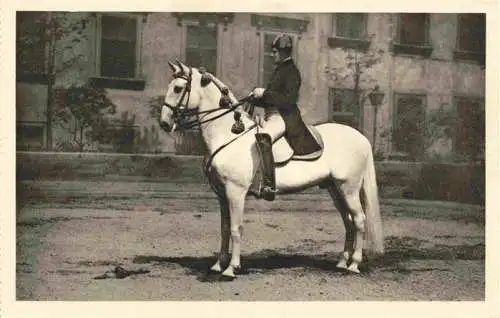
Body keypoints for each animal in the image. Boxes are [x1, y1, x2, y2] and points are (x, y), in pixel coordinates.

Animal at [160, 60, 382, 280]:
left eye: (178, 88)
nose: (164, 123)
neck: (228, 134)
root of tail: (361, 138)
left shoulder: (235, 192)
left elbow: (235, 229)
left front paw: (231, 268)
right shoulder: (222, 194)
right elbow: (224, 229)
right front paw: (217, 265)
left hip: (349, 188)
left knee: (359, 220)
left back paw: (354, 264)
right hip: (334, 189)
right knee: (348, 221)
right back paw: (342, 262)